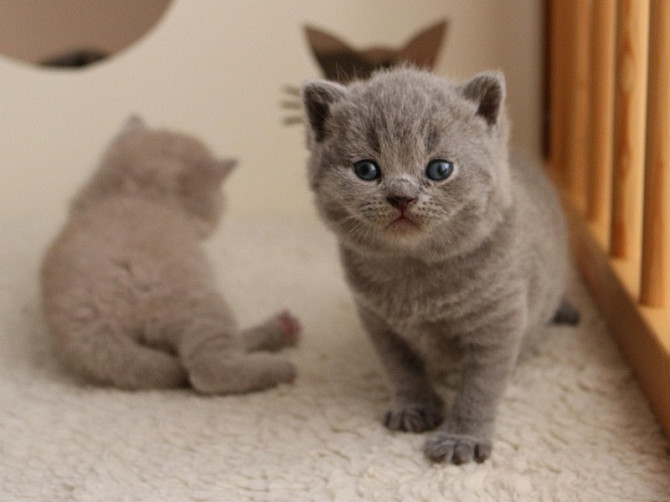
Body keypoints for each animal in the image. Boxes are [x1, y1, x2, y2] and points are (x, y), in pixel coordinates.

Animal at [42, 116, 302, 392]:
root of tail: (91, 324)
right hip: (199, 302)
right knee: (205, 372)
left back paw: (283, 330)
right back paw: (280, 361)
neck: (138, 193)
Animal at [302, 68, 580, 464]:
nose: (402, 196)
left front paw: (461, 438)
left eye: (439, 169)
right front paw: (414, 409)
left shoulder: (499, 323)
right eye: (366, 169)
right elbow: (402, 369)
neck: (414, 273)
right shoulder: (378, 322)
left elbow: (478, 388)